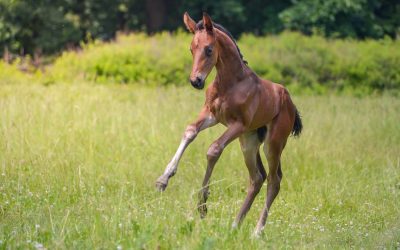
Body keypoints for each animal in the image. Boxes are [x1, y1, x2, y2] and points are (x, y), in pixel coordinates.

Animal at [155, 12, 302, 236]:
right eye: (191, 49)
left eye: (208, 49)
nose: (196, 81)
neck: (231, 83)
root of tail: (291, 104)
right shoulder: (212, 115)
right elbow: (190, 131)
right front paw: (163, 179)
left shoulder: (238, 124)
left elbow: (214, 149)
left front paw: (202, 206)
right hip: (249, 142)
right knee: (257, 178)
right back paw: (235, 225)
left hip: (272, 143)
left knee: (274, 180)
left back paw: (257, 231)